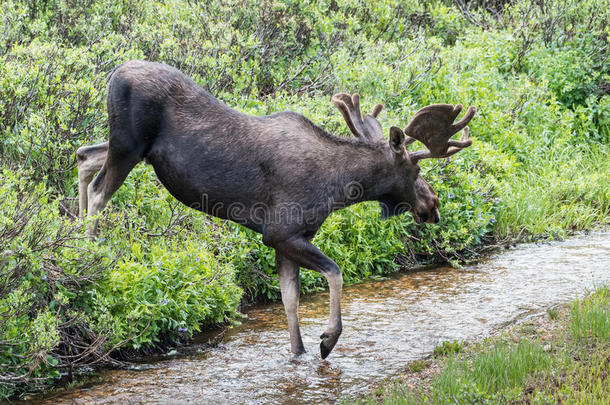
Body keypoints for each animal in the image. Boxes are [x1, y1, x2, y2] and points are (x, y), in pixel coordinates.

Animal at [77, 60, 476, 356]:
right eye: (417, 170)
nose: (434, 206)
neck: (340, 185)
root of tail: (114, 72)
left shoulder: (288, 240)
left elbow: (290, 302)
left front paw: (300, 352)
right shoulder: (281, 232)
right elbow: (335, 273)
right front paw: (328, 339)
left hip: (131, 148)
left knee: (84, 156)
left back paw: (74, 236)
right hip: (129, 144)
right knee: (98, 190)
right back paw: (91, 253)